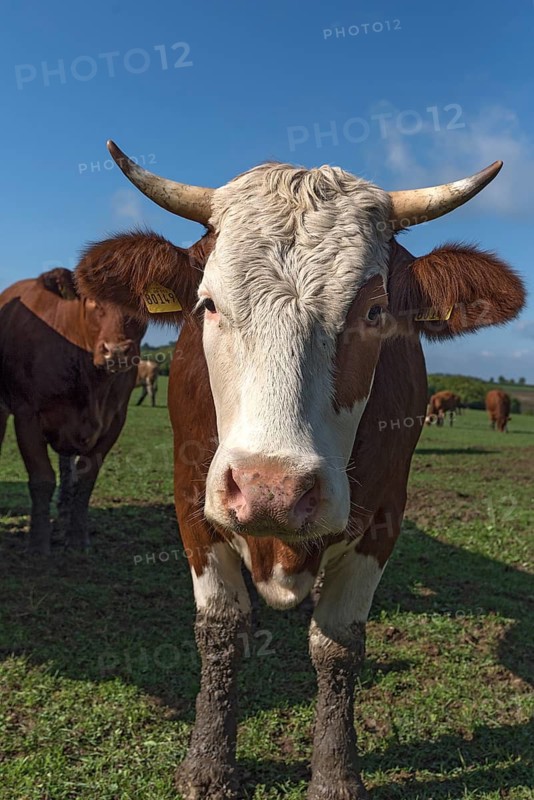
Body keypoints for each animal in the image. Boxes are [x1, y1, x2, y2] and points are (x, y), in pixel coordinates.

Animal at [0, 267, 146, 554]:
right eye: (93, 300)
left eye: (139, 303)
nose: (116, 352)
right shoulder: (26, 414)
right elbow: (42, 478)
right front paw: (38, 543)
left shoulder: (115, 420)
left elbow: (86, 478)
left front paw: (77, 537)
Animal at [76, 142, 525, 800]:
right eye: (208, 304)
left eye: (375, 310)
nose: (273, 490)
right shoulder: (192, 502)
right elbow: (221, 630)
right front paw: (209, 767)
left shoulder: (384, 517)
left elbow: (337, 645)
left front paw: (335, 774)